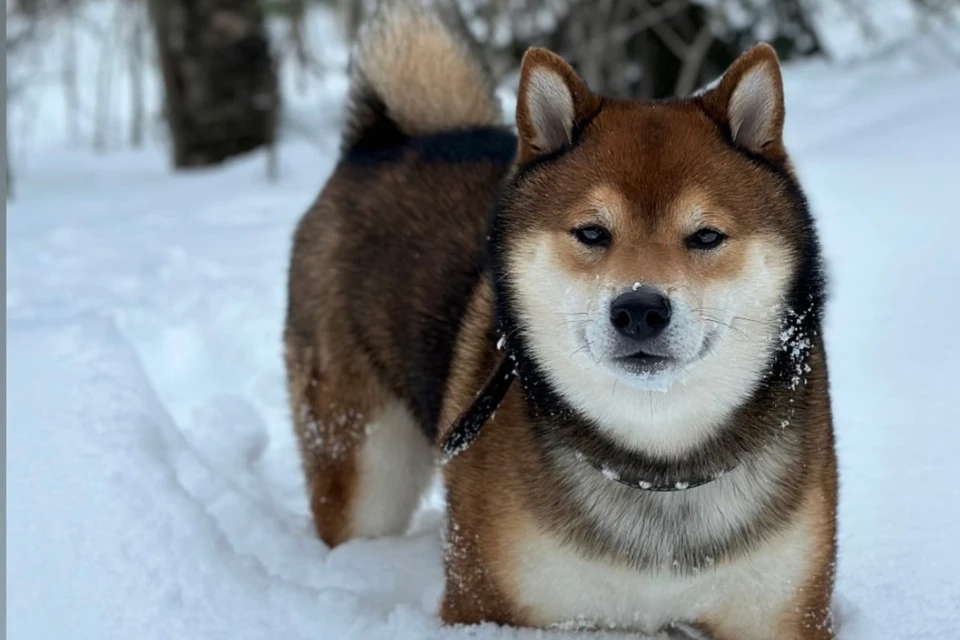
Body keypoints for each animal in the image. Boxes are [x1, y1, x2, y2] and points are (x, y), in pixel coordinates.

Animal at [282, 2, 836, 636]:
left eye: (706, 236)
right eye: (592, 232)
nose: (639, 309)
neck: (658, 468)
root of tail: (381, 142)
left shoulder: (780, 610)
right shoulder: (486, 604)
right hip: (362, 460)